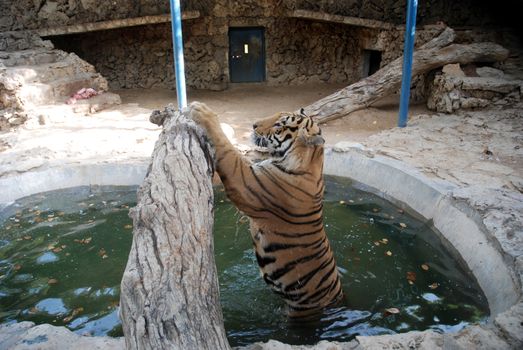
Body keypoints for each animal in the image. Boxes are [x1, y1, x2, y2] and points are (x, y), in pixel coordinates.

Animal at [188, 101, 344, 318]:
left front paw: (202, 111)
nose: (253, 125)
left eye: (279, 125)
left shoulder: (245, 181)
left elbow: (227, 149)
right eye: (277, 114)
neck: (310, 161)